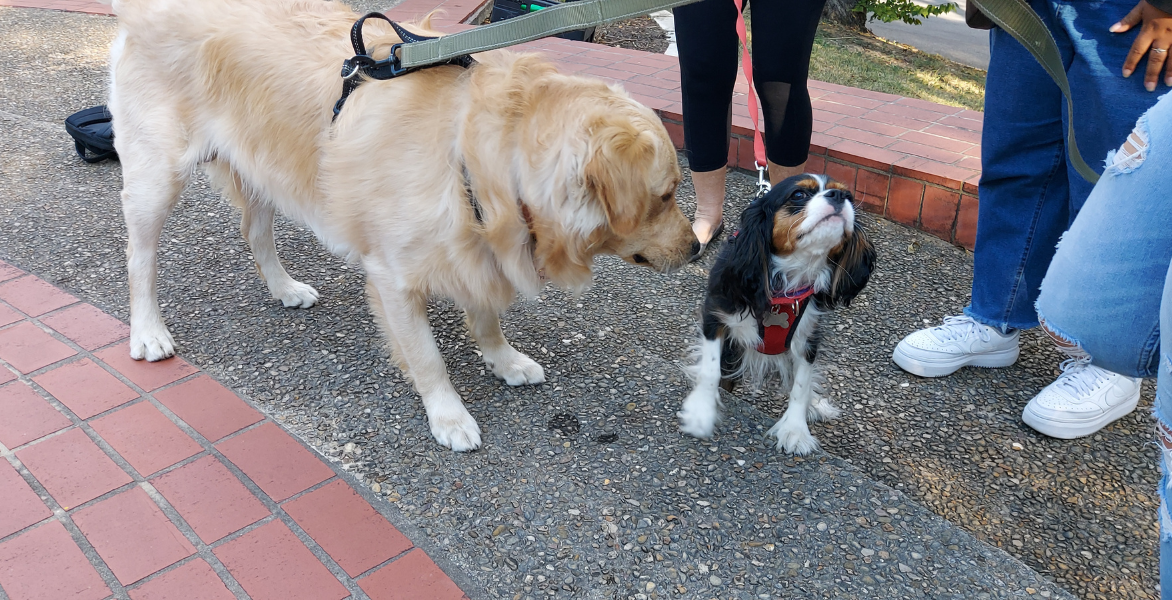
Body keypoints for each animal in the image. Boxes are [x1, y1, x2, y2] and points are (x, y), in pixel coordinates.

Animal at [107, 0, 693, 450]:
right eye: (665, 196)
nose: (698, 248)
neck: (475, 156)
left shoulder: (476, 249)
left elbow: (486, 318)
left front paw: (503, 359)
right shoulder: (393, 277)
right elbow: (427, 357)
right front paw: (449, 415)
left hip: (265, 168)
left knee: (256, 232)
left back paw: (284, 287)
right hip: (157, 174)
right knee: (139, 257)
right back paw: (149, 331)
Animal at [679, 174, 871, 454]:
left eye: (849, 196)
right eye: (799, 195)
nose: (838, 196)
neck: (788, 281)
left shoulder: (808, 338)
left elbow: (801, 384)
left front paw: (795, 430)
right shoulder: (716, 314)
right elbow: (710, 368)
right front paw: (700, 413)